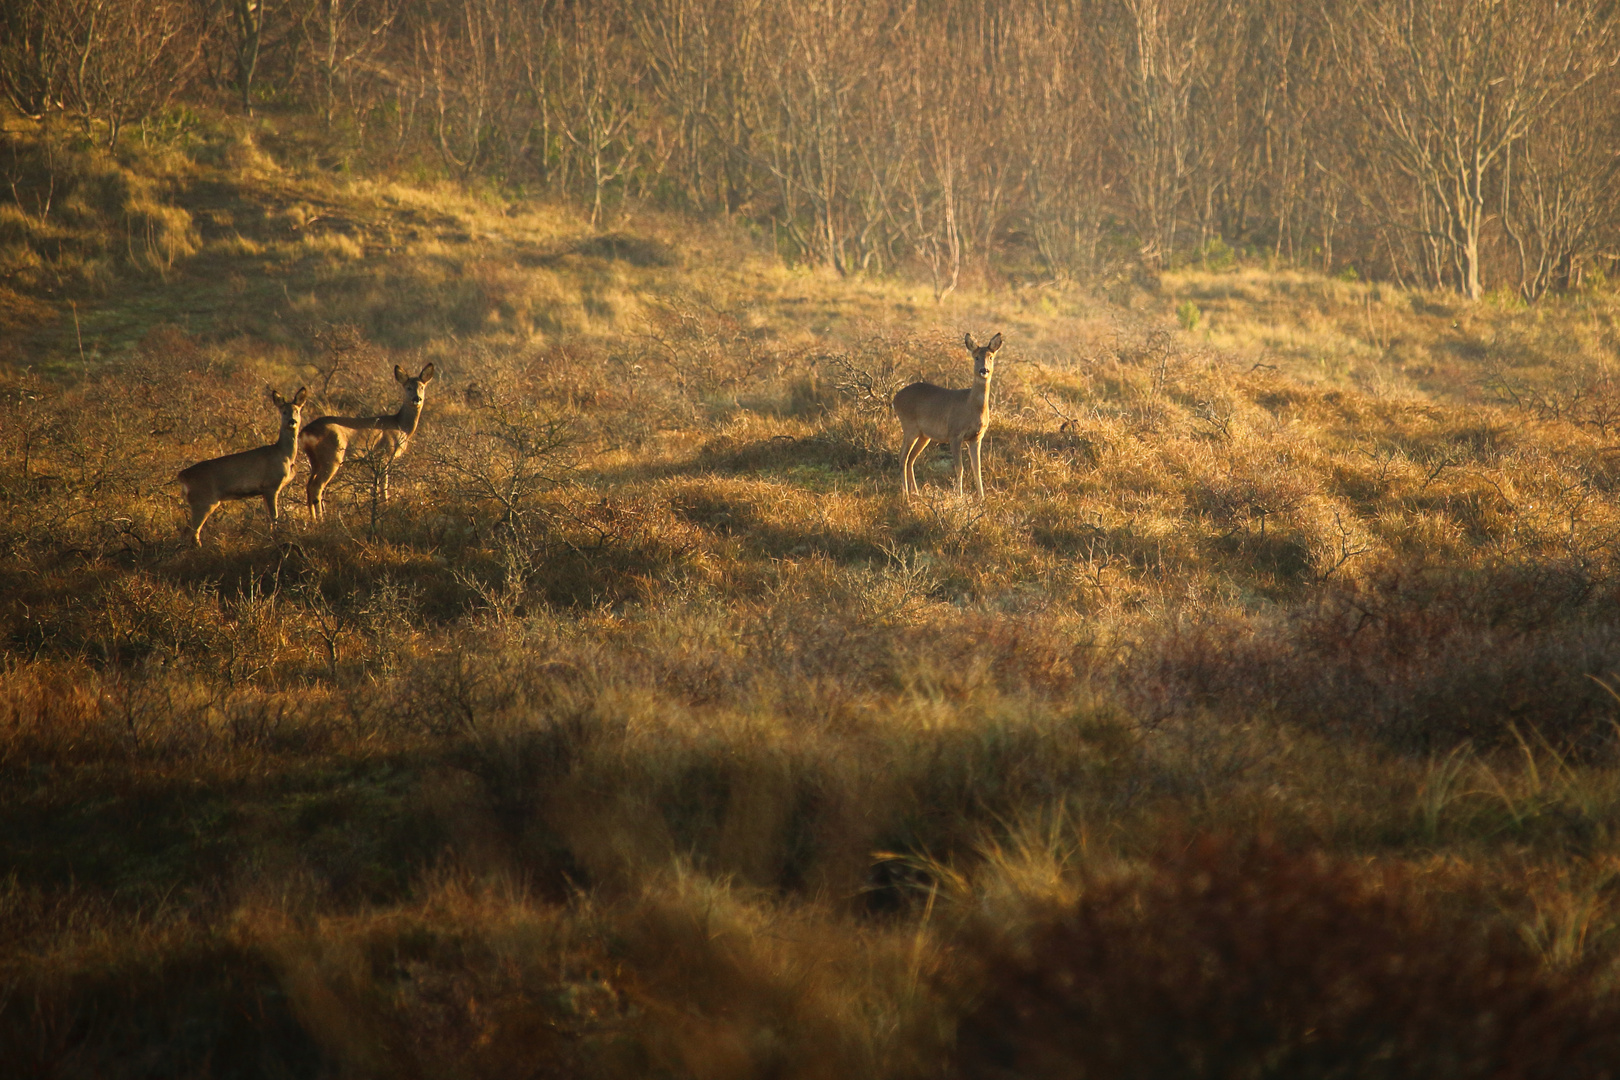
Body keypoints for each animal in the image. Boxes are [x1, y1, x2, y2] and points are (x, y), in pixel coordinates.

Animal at [182, 383, 311, 544]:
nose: (292, 421)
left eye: (297, 410)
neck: (284, 454)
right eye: (283, 411)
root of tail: (183, 476)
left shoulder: (264, 491)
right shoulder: (271, 485)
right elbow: (274, 516)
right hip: (204, 500)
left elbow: (269, 517)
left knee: (189, 531)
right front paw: (274, 538)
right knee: (190, 531)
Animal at [299, 362, 437, 518]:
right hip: (332, 456)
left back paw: (313, 518)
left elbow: (374, 486)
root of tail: (305, 432)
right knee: (317, 486)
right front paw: (385, 505)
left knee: (309, 485)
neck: (401, 426)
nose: (417, 398)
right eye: (408, 387)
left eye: (422, 387)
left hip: (315, 460)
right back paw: (321, 518)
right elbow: (384, 485)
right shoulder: (384, 454)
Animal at [894, 333, 1004, 498]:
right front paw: (959, 495)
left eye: (990, 357)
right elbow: (959, 467)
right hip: (909, 427)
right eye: (976, 357)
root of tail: (895, 398)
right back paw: (906, 494)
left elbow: (977, 468)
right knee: (902, 457)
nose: (984, 370)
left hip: (924, 435)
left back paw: (916, 493)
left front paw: (982, 498)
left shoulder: (976, 437)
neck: (971, 407)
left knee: (911, 459)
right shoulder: (955, 434)